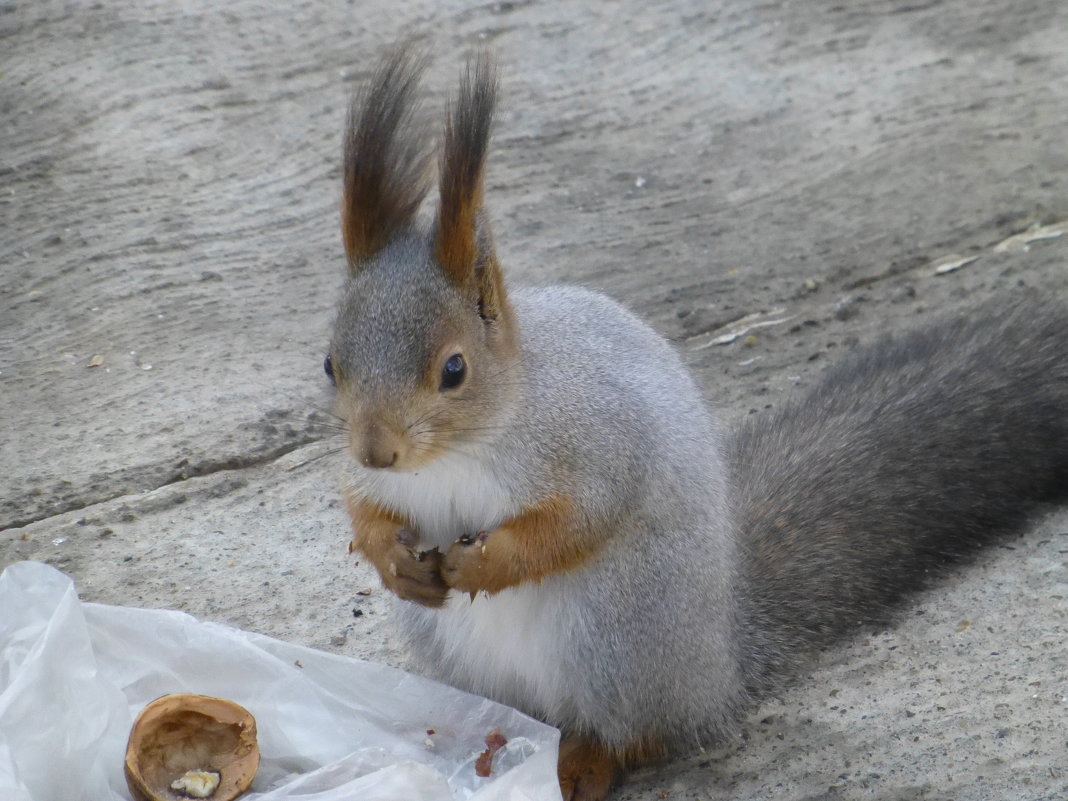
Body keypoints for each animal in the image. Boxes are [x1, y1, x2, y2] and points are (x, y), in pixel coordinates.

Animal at [324, 50, 1068, 801]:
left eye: (454, 369)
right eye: (330, 363)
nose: (377, 450)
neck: (456, 453)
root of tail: (718, 667)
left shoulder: (596, 442)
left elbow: (574, 522)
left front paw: (483, 559)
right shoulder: (373, 479)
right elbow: (362, 509)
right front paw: (391, 557)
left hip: (618, 635)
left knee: (638, 734)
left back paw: (582, 763)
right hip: (459, 646)